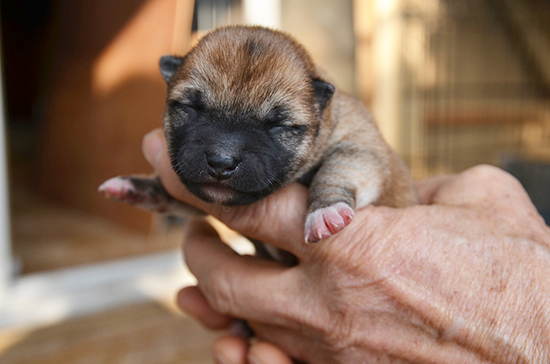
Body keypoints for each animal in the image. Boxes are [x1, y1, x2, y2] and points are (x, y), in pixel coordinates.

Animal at [100, 26, 418, 253]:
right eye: (191, 108)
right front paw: (136, 185)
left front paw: (325, 211)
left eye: (277, 125)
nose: (221, 162)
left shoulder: (361, 142)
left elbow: (341, 166)